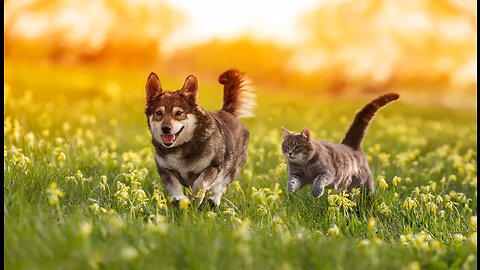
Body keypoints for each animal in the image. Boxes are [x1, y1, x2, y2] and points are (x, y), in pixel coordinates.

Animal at [144, 69, 255, 207]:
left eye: (179, 113)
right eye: (158, 113)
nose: (165, 128)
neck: (181, 147)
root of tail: (228, 112)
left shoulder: (213, 166)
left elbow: (200, 183)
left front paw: (195, 198)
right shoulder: (165, 170)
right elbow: (174, 185)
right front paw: (178, 198)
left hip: (234, 167)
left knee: (222, 184)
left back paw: (214, 199)